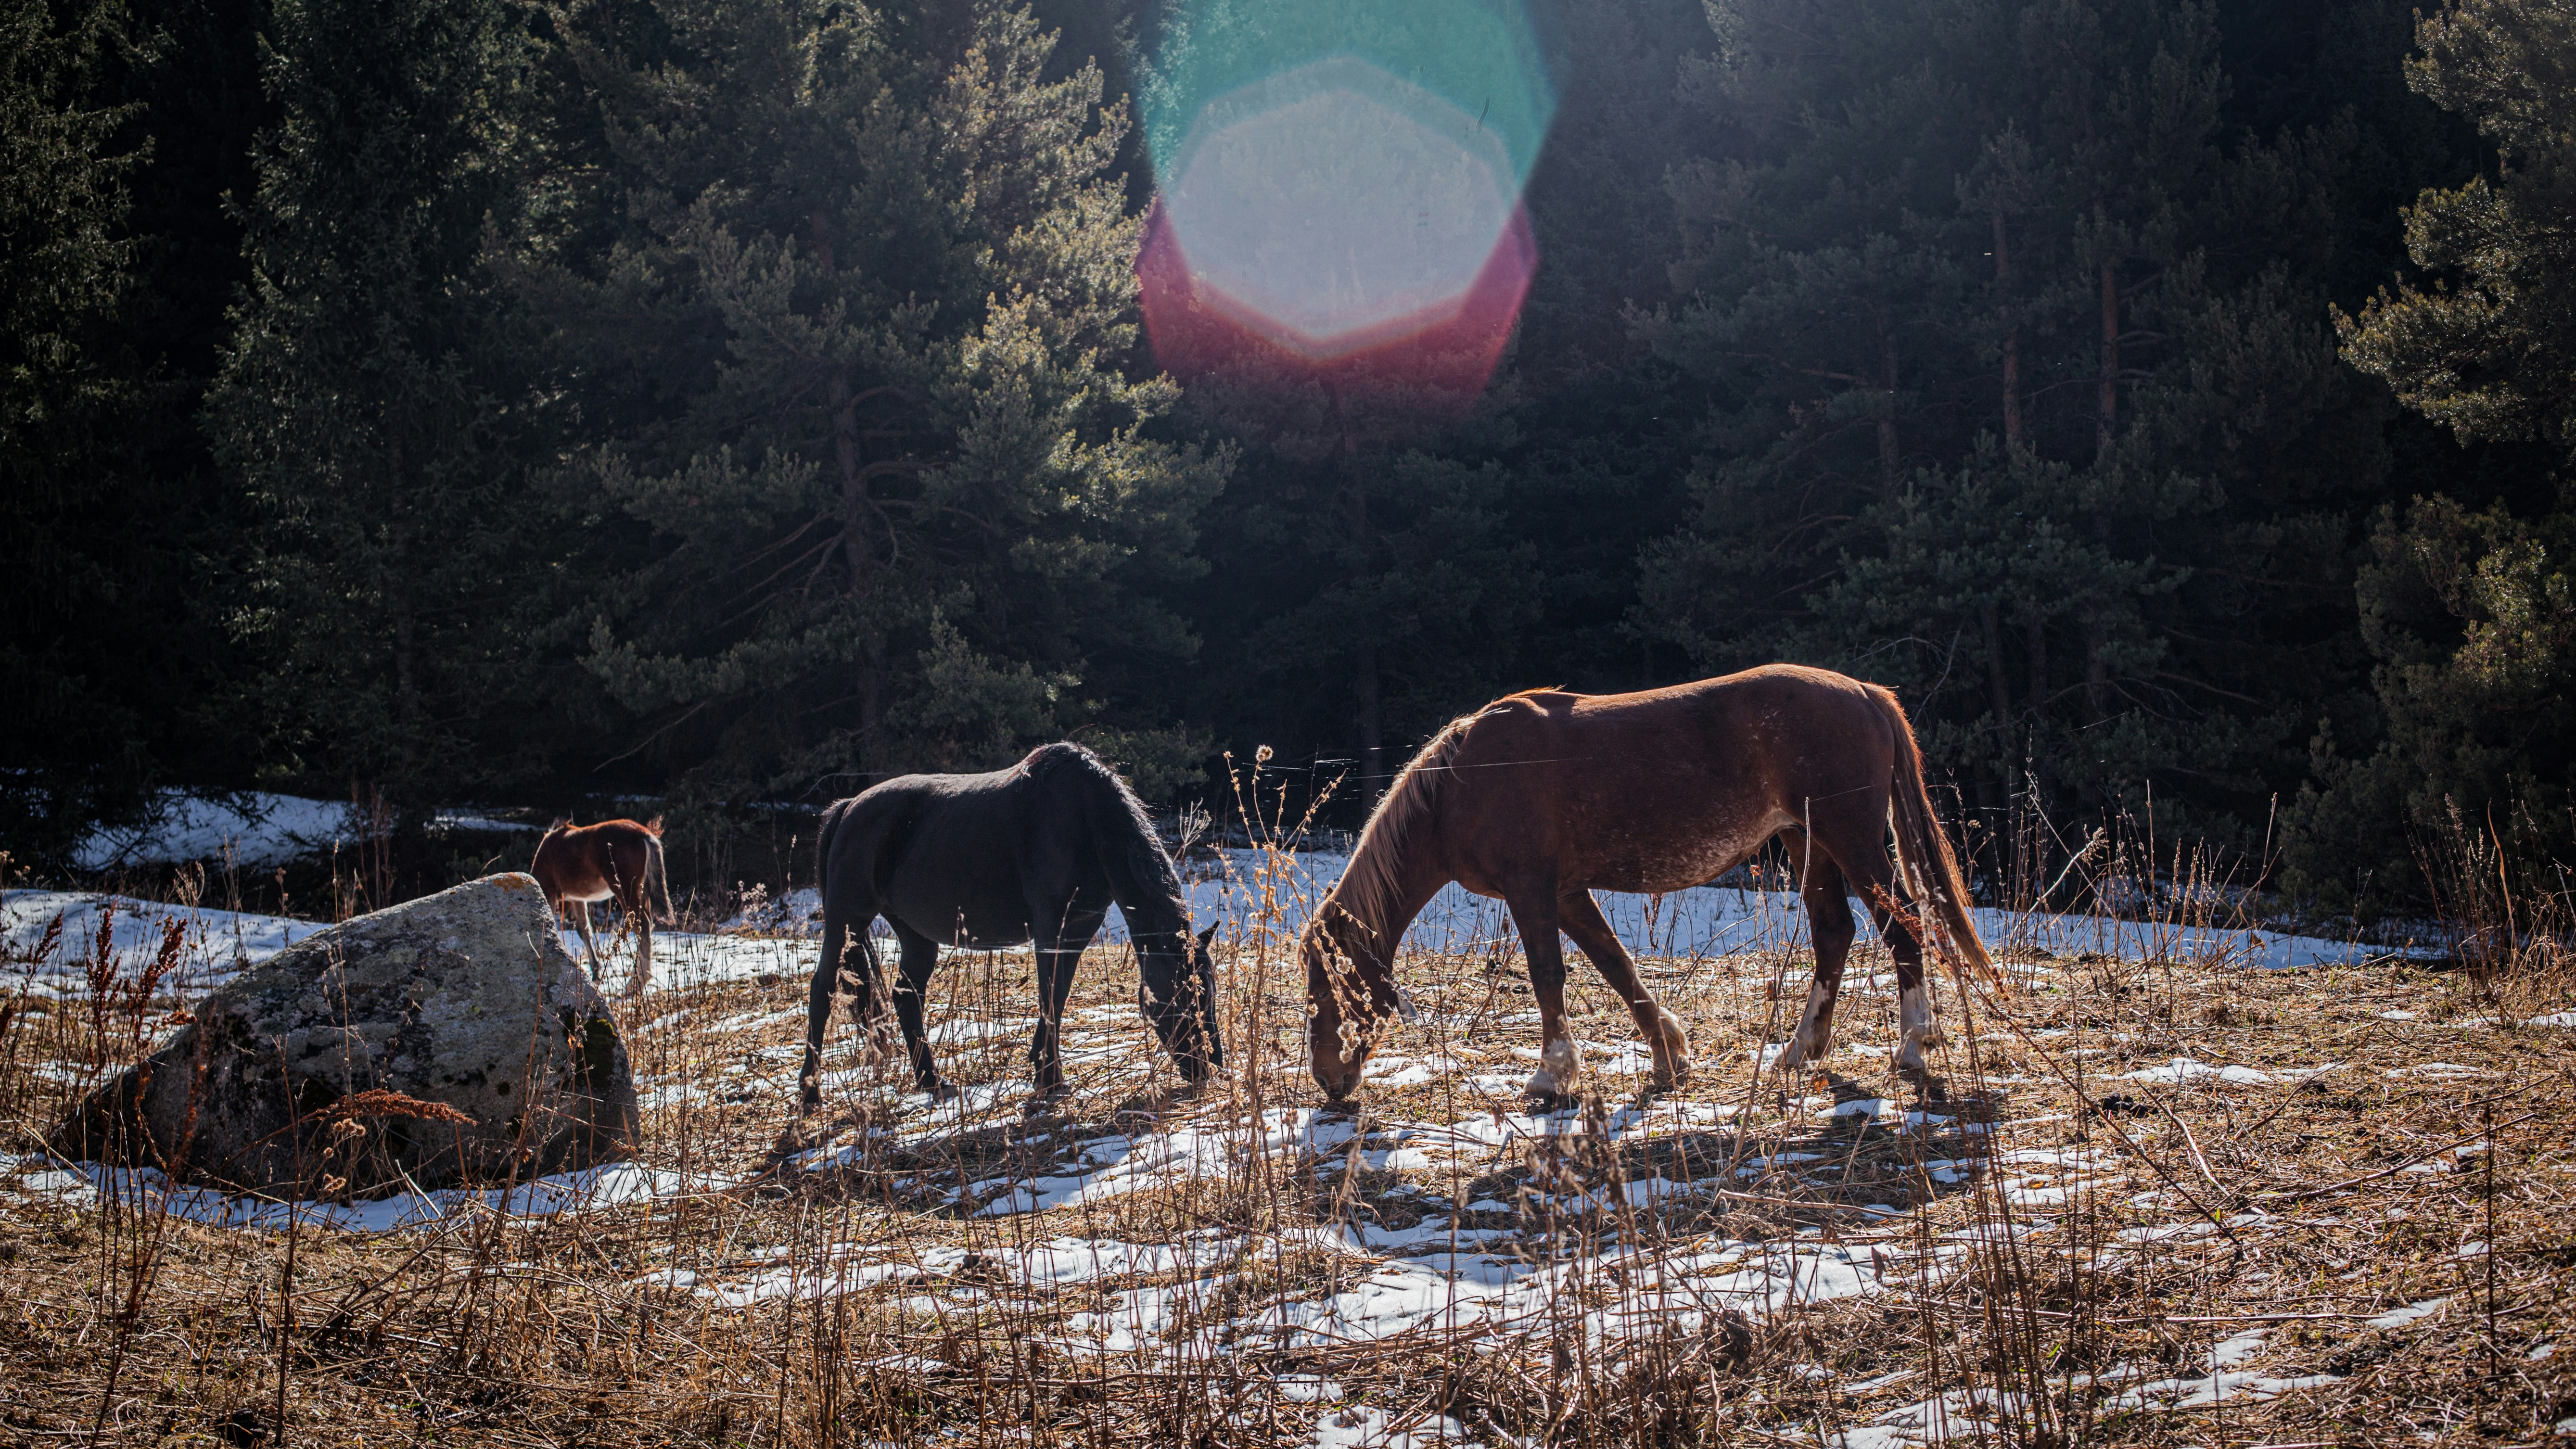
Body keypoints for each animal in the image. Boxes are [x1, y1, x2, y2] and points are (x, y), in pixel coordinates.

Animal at [531, 817, 674, 997]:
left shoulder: (549, 891)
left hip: (625, 890)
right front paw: (595, 973)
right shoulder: (578, 899)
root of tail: (643, 835)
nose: (568, 916)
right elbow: (585, 931)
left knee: (642, 925)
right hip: (641, 891)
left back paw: (637, 983)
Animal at [799, 742, 1222, 1113]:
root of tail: (847, 809)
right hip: (847, 921)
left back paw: (933, 1082)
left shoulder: (1079, 927)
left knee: (906, 997)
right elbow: (1050, 995)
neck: (1085, 820)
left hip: (916, 935)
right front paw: (1050, 1078)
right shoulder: (1052, 928)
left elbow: (1058, 996)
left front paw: (1045, 1073)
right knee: (822, 990)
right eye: (1184, 994)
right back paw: (810, 1096)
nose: (1209, 1066)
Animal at [1300, 664, 2002, 1105]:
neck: (1461, 786)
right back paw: (1800, 1049)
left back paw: (1912, 1046)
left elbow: (1548, 976)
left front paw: (1551, 1076)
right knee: (1835, 933)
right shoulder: (1565, 893)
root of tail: (1864, 692)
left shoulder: (1531, 891)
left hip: (1850, 838)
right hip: (1811, 842)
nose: (1329, 1083)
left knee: (1902, 925)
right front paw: (1668, 1054)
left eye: (1322, 991)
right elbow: (1615, 967)